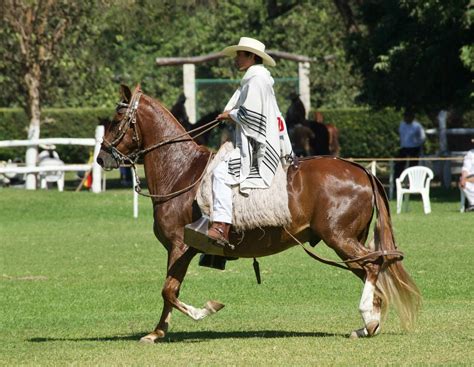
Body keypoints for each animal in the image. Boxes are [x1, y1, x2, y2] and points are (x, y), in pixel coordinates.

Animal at [97, 85, 422, 344]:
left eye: (116, 121)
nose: (101, 157)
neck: (181, 172)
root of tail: (362, 170)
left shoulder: (180, 246)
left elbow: (169, 290)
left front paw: (205, 310)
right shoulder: (178, 250)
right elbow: (169, 290)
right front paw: (156, 332)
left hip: (340, 238)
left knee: (373, 266)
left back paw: (368, 318)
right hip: (346, 242)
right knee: (371, 269)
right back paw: (368, 324)